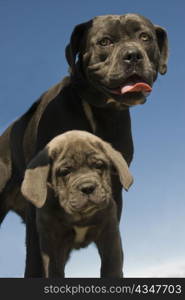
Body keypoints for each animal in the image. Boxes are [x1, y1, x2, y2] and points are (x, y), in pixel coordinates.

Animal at [21, 130, 134, 278]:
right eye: (65, 172)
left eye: (99, 165)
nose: (87, 187)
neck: (81, 217)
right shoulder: (52, 241)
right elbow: (54, 269)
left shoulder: (109, 232)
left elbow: (112, 264)